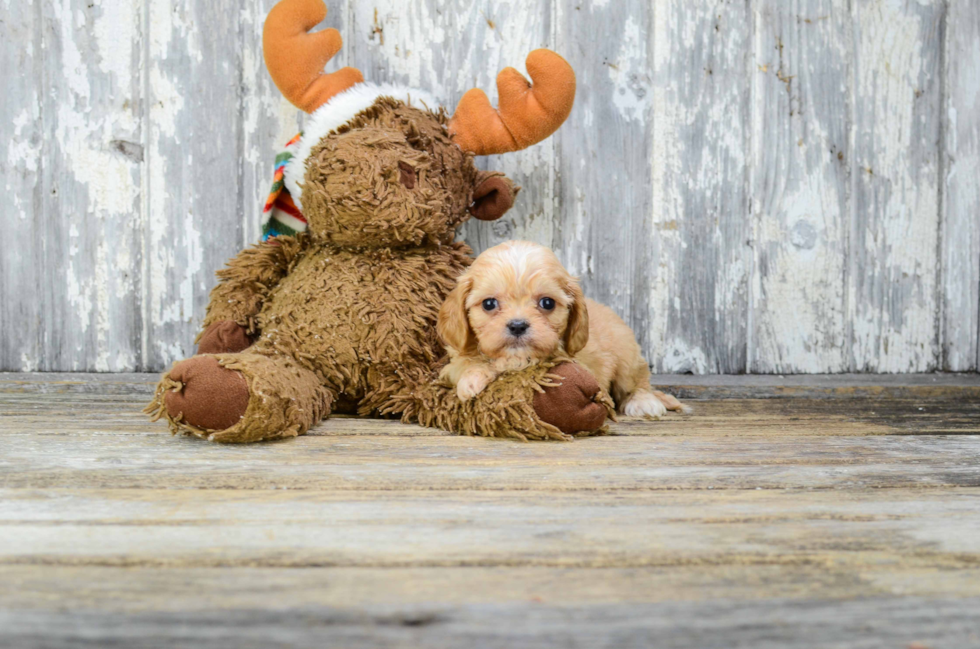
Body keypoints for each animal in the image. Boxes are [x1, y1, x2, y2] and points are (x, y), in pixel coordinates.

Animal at [440, 240, 684, 418]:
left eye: (547, 303)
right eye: (489, 304)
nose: (518, 326)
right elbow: (463, 364)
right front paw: (471, 376)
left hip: (627, 358)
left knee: (638, 380)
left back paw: (644, 403)